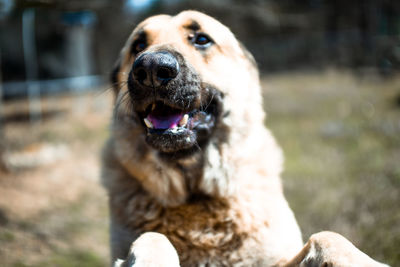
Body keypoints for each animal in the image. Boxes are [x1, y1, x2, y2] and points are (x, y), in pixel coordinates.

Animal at [101, 9, 390, 266]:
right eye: (139, 45)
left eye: (201, 39)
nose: (151, 69)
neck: (196, 197)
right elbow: (152, 236)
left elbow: (328, 236)